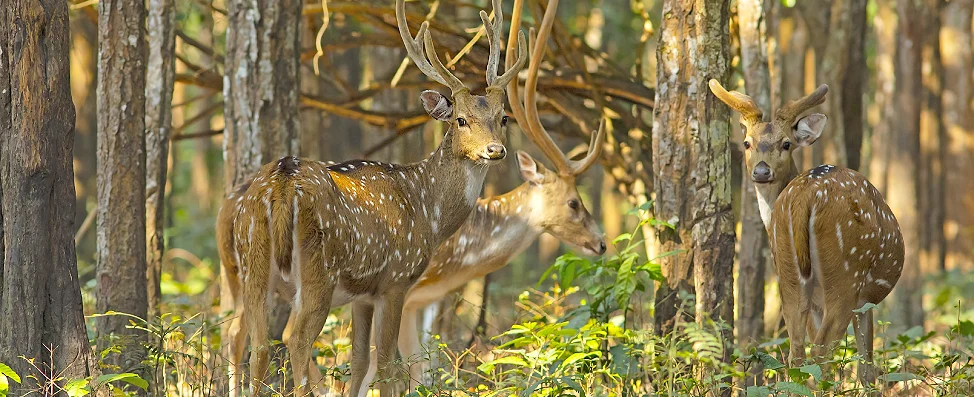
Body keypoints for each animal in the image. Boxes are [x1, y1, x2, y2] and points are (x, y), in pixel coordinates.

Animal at [218, 0, 528, 392]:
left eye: (502, 118)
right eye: (461, 119)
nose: (495, 150)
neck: (428, 211)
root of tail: (282, 181)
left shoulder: (361, 295)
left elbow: (359, 359)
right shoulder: (396, 280)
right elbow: (387, 364)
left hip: (252, 260)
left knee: (255, 342)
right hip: (319, 268)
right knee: (295, 338)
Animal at [708, 80, 908, 384]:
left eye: (786, 143)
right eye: (747, 143)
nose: (762, 171)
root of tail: (806, 196)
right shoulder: (865, 301)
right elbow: (866, 366)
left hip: (788, 275)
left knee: (797, 353)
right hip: (846, 274)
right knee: (822, 351)